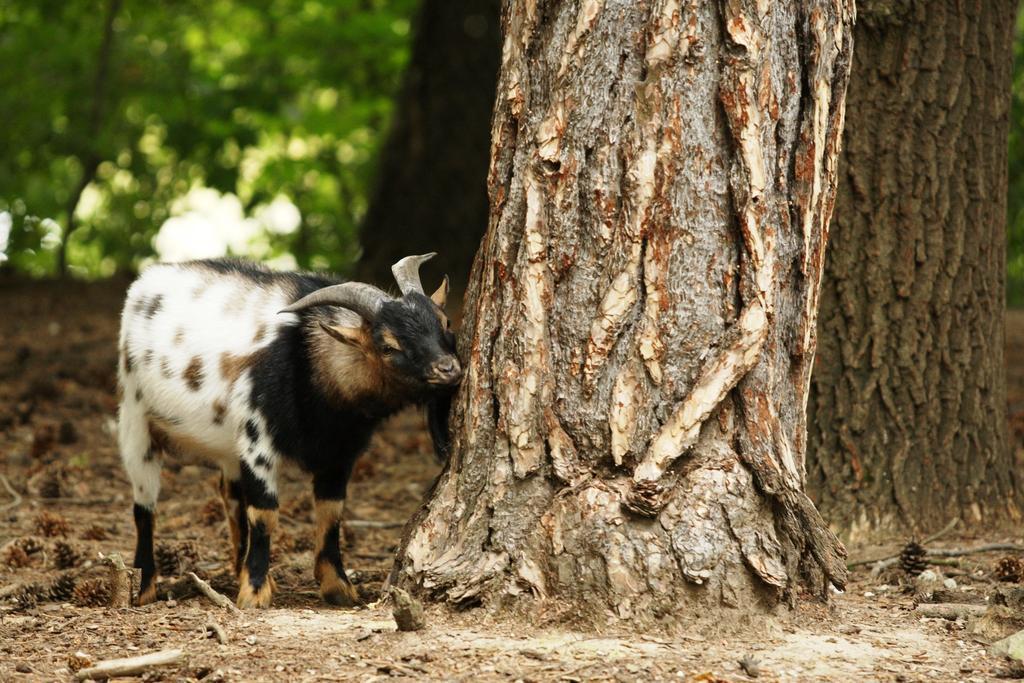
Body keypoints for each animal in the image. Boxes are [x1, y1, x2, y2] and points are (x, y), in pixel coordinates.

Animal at [115, 253, 460, 606]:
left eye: (444, 322)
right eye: (388, 346)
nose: (448, 370)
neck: (308, 361)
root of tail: (148, 278)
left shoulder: (340, 451)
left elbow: (330, 512)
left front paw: (338, 588)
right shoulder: (258, 442)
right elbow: (264, 513)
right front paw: (254, 592)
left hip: (228, 446)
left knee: (231, 495)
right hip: (135, 420)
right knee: (144, 507)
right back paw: (145, 587)